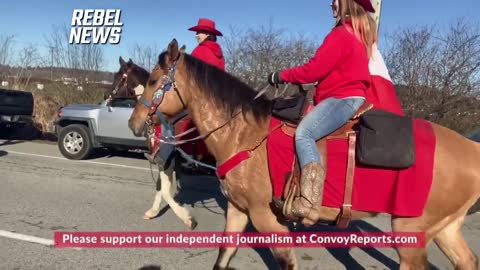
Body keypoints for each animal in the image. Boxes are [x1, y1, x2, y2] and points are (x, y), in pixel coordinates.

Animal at [129, 38, 480, 270]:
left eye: (154, 80)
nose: (134, 122)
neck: (244, 134)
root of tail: (471, 149)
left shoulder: (266, 217)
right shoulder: (238, 210)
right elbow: (223, 255)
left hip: (411, 233)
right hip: (445, 228)